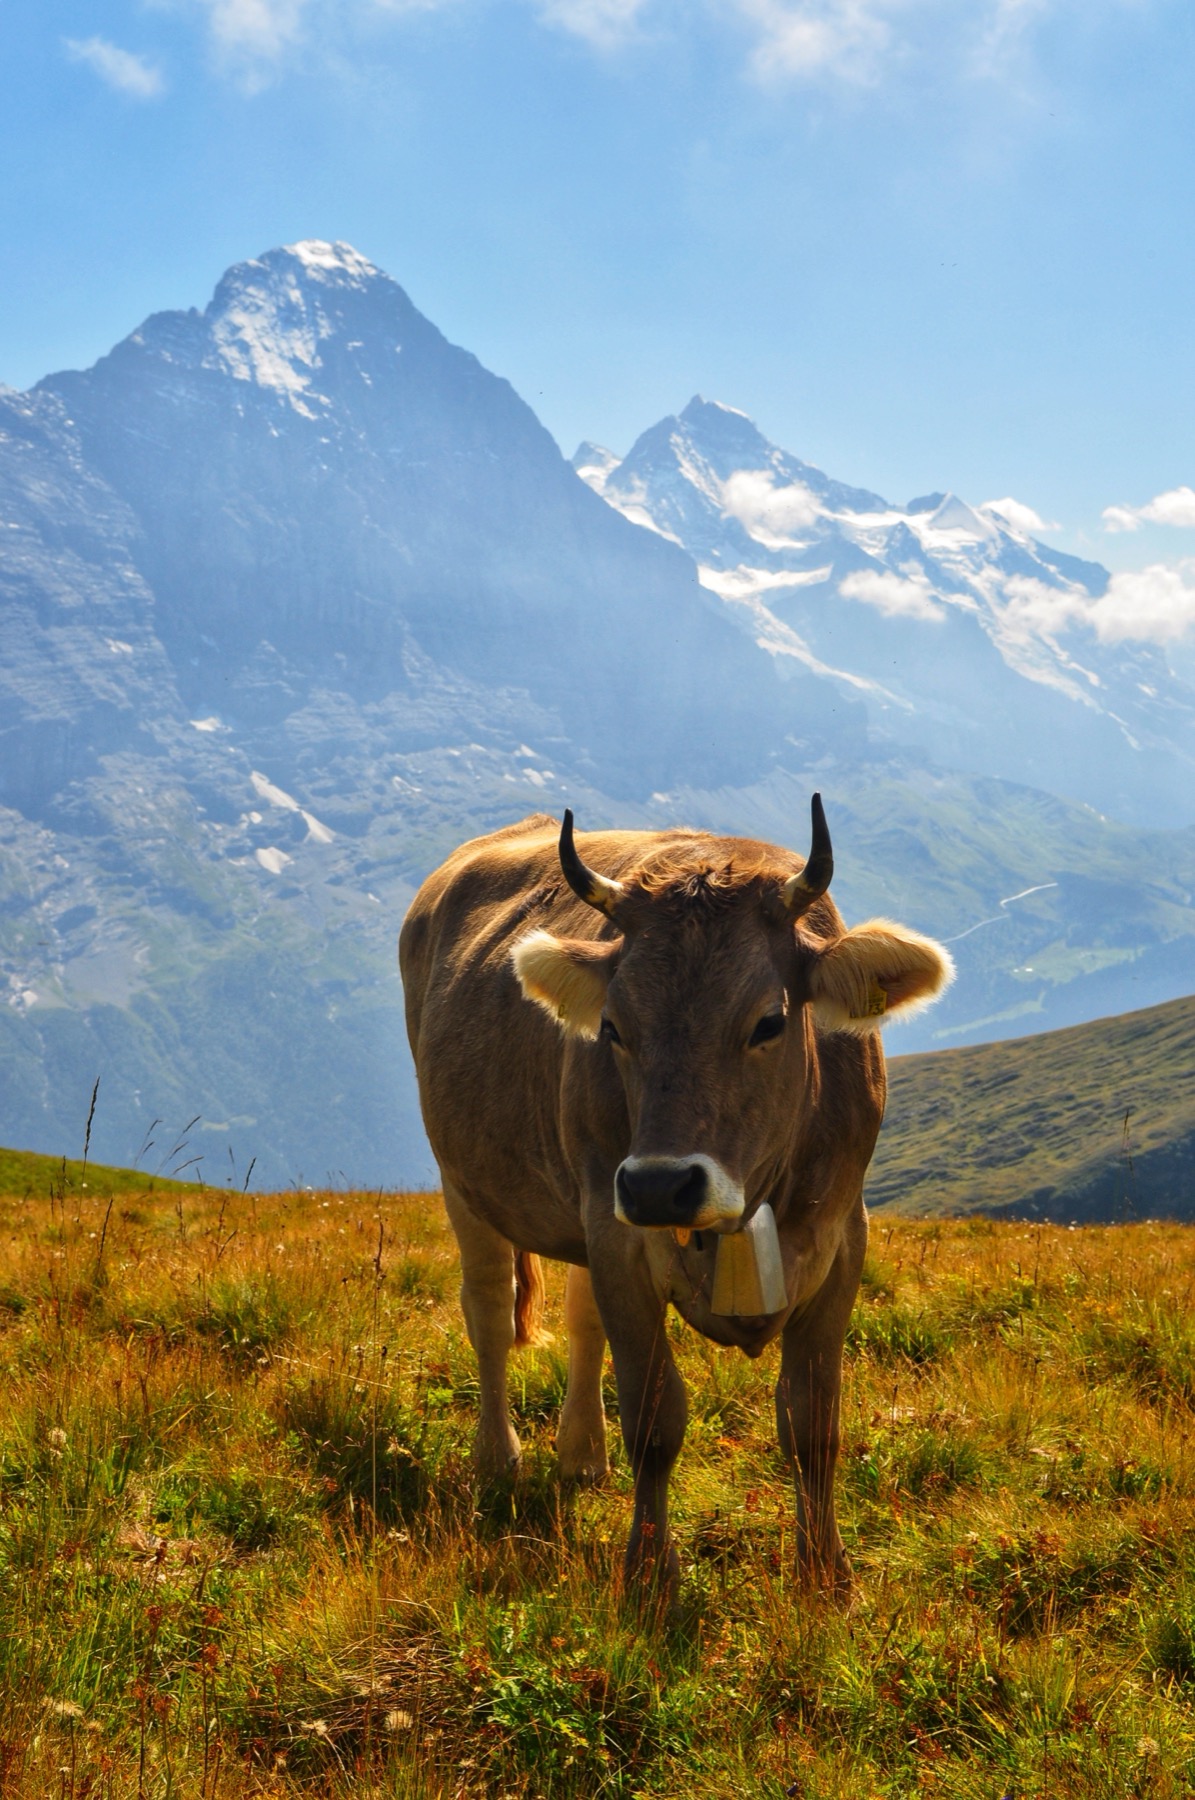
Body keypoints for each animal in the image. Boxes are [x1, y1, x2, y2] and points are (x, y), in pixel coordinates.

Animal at [399, 799, 952, 1600]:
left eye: (769, 1021)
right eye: (612, 1027)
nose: (660, 1183)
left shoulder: (841, 1240)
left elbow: (813, 1424)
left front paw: (825, 1577)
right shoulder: (620, 1236)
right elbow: (655, 1421)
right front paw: (650, 1574)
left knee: (579, 1321)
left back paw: (580, 1455)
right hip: (465, 1181)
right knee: (490, 1313)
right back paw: (498, 1461)